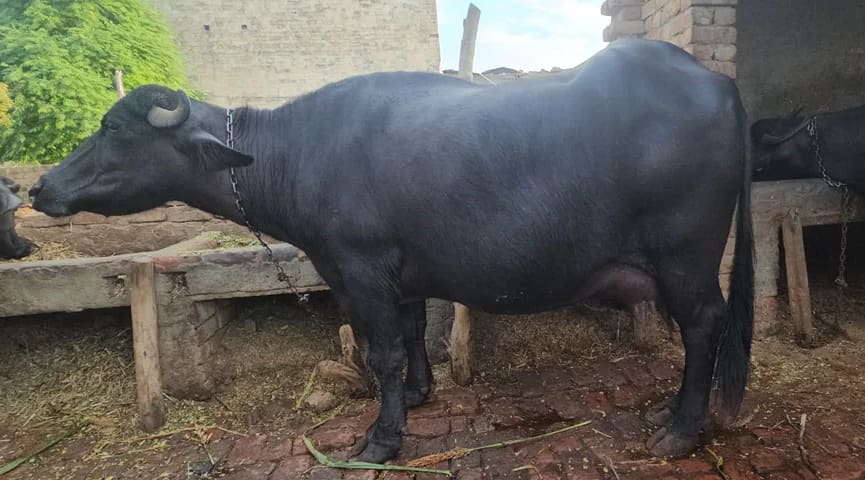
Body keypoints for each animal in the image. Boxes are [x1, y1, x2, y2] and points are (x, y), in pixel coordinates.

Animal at [31, 38, 754, 462]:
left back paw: (678, 430)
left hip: (685, 255)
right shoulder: (402, 275)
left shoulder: (358, 269)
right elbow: (407, 336)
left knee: (704, 325)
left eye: (116, 129)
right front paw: (420, 394)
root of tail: (713, 82)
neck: (296, 154)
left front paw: (381, 438)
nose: (39, 186)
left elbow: (380, 352)